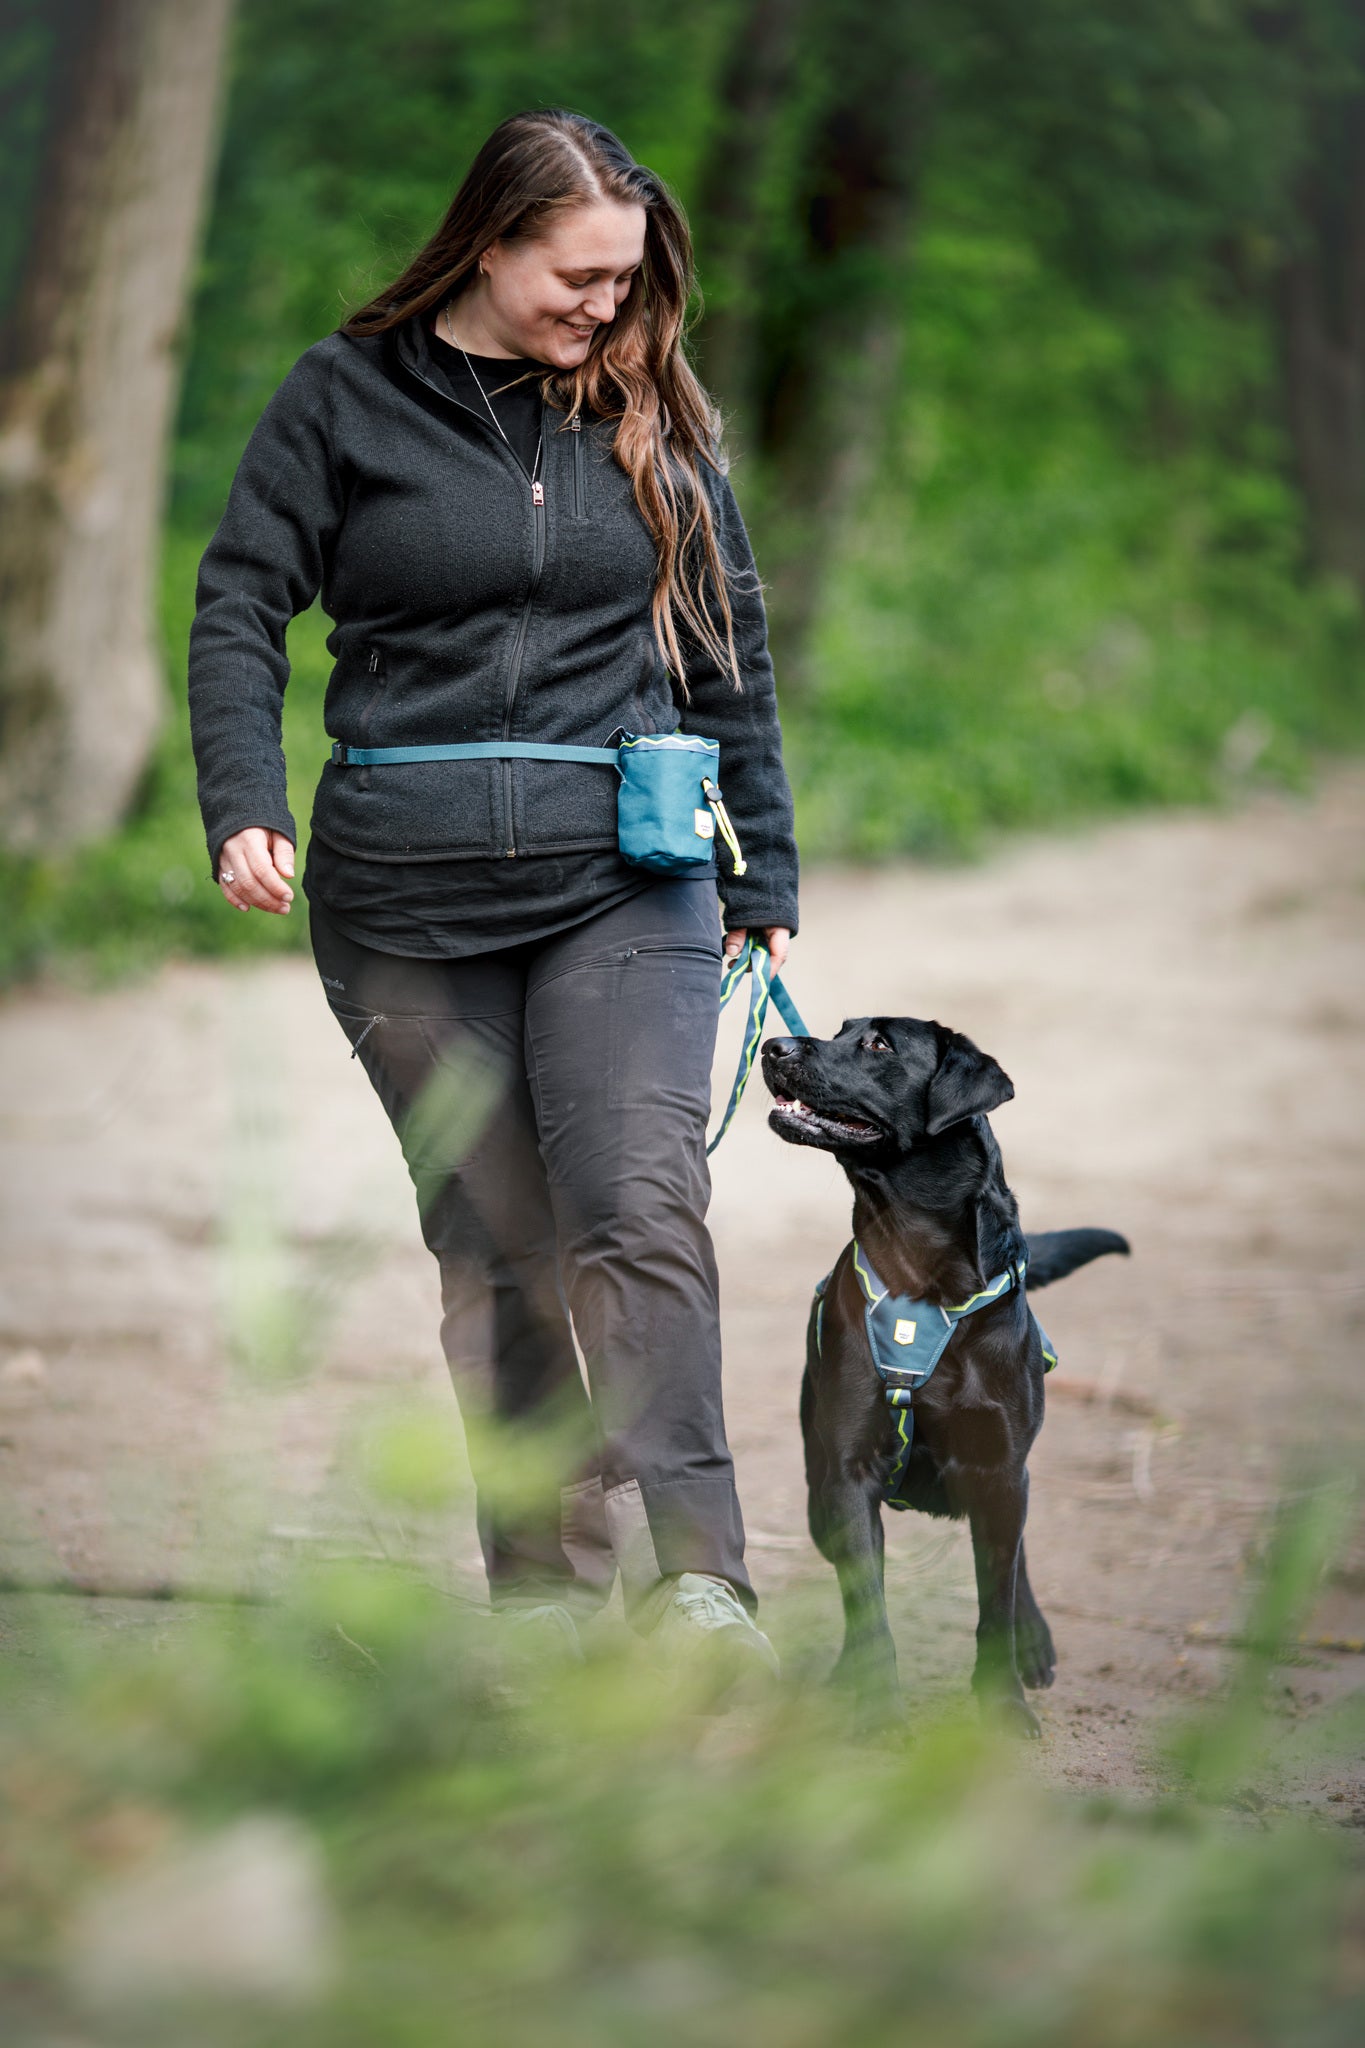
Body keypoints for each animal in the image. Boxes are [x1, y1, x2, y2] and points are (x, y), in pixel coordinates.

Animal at [765, 1015, 1129, 1736]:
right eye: (840, 1030)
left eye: (878, 1043)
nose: (772, 1045)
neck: (922, 1275)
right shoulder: (847, 1474)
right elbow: (867, 1605)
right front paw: (875, 1706)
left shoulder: (999, 1469)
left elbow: (996, 1600)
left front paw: (1002, 1703)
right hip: (818, 1492)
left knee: (1015, 1563)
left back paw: (1034, 1641)